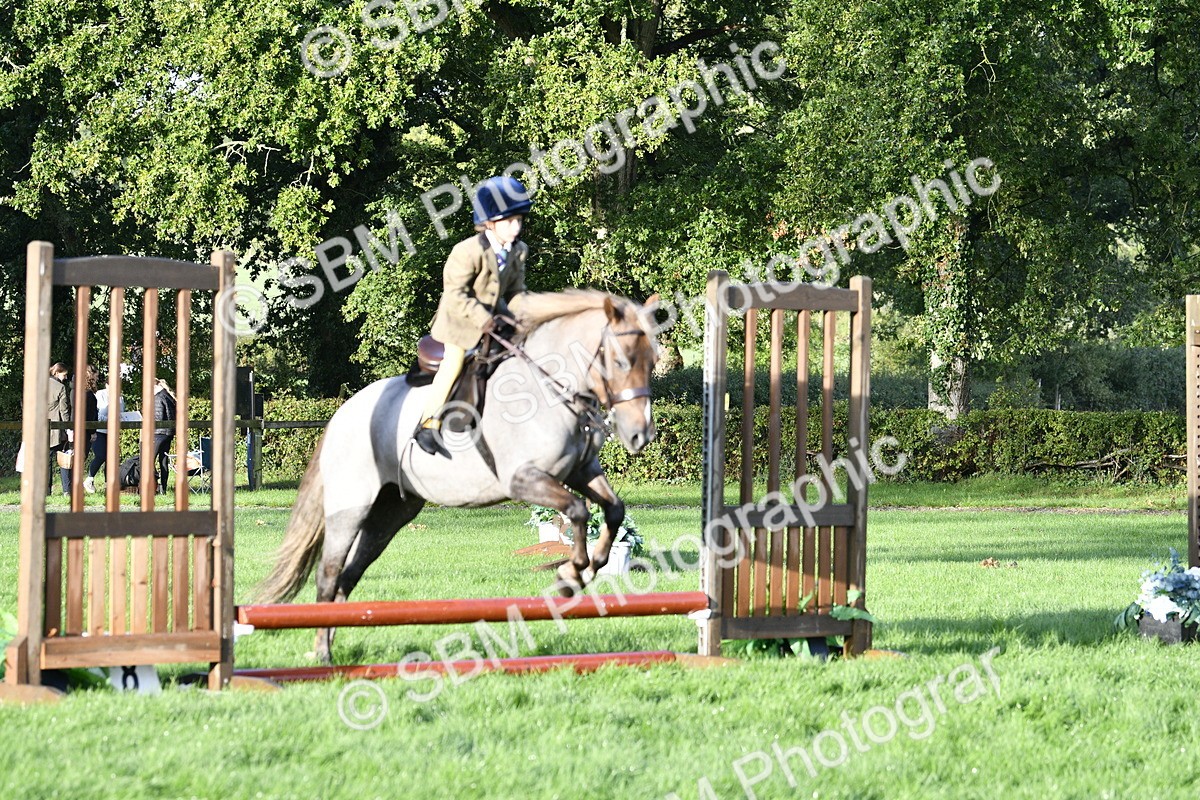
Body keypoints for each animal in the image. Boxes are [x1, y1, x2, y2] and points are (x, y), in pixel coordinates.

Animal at [255, 290, 659, 663]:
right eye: (620, 361)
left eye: (653, 361)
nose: (640, 435)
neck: (550, 388)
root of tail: (341, 415)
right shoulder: (523, 479)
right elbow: (577, 511)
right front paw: (570, 576)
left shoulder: (580, 471)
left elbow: (614, 510)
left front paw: (590, 567)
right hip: (350, 507)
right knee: (329, 573)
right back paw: (322, 653)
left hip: (391, 512)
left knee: (348, 576)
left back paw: (329, 643)